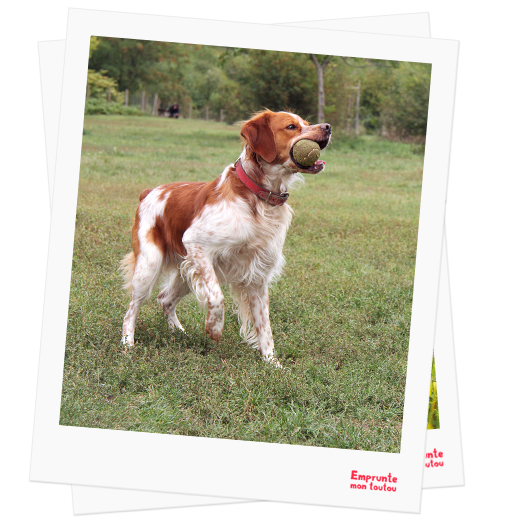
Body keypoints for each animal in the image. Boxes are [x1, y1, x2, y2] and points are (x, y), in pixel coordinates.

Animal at [120, 109, 332, 364]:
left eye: (307, 123)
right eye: (291, 126)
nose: (328, 127)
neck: (257, 197)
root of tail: (150, 191)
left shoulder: (258, 274)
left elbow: (265, 326)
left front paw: (272, 363)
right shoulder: (196, 243)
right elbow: (216, 297)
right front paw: (214, 328)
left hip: (185, 271)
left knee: (165, 298)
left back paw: (178, 331)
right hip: (149, 264)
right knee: (132, 308)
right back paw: (128, 343)